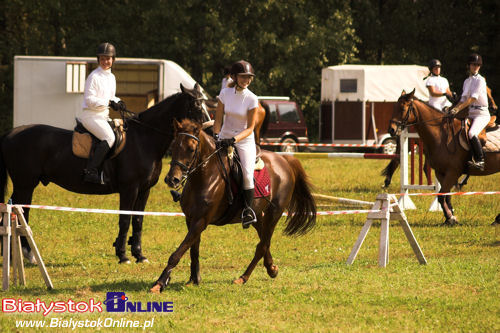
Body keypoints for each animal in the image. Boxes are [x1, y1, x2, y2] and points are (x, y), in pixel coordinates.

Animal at [0, 83, 209, 262]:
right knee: (20, 212)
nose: (209, 131)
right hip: (25, 185)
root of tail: (10, 134)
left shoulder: (144, 190)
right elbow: (125, 219)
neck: (144, 139)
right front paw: (123, 255)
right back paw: (28, 254)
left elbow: (138, 220)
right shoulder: (129, 188)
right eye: (196, 105)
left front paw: (139, 255)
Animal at [150, 117, 318, 290]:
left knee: (262, 245)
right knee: (264, 240)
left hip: (274, 213)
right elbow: (193, 250)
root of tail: (284, 160)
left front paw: (160, 282)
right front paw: (194, 279)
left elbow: (178, 252)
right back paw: (271, 268)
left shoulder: (201, 221)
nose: (172, 179)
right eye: (173, 146)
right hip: (257, 215)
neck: (203, 176)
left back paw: (243, 277)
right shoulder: (190, 219)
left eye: (191, 149)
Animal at [388, 89, 500, 223]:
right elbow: (445, 196)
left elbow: (442, 196)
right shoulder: (441, 172)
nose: (391, 130)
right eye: (394, 107)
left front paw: (451, 218)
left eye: (403, 108)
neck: (442, 135)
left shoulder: (453, 172)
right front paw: (450, 216)